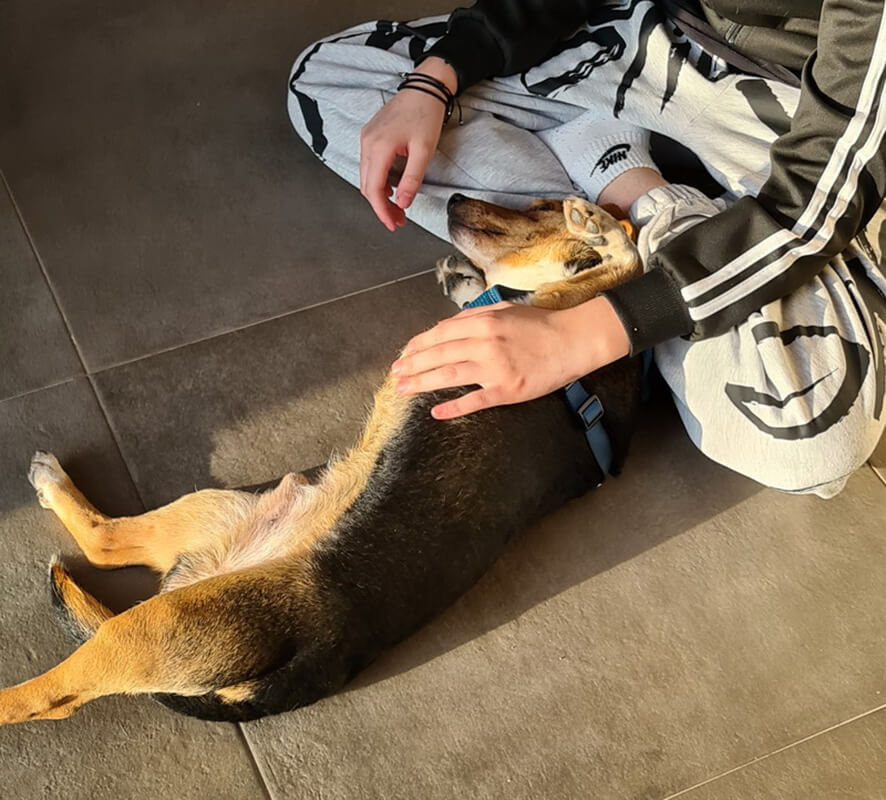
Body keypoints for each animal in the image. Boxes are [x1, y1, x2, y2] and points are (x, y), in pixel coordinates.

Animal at [0, 195, 643, 724]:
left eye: (540, 206)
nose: (454, 197)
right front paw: (468, 278)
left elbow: (625, 265)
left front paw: (604, 231)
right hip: (216, 509)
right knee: (105, 543)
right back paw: (51, 482)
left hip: (161, 624)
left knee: (49, 697)